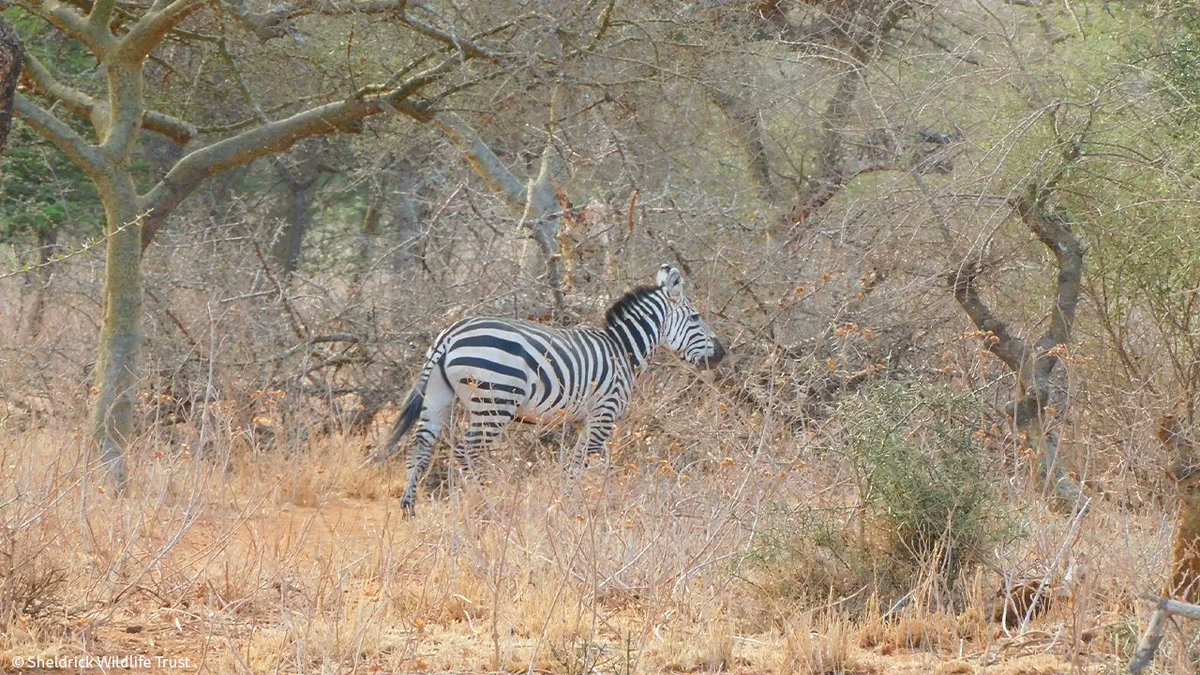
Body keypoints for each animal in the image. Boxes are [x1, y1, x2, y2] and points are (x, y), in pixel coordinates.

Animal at [378, 264, 725, 516]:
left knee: (421, 446)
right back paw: (487, 503)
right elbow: (587, 463)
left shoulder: (584, 420)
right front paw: (577, 506)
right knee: (467, 452)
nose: (722, 353)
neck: (622, 350)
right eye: (696, 317)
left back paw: (409, 509)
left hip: (438, 395)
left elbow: (577, 463)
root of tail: (449, 334)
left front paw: (568, 502)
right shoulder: (604, 414)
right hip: (494, 403)